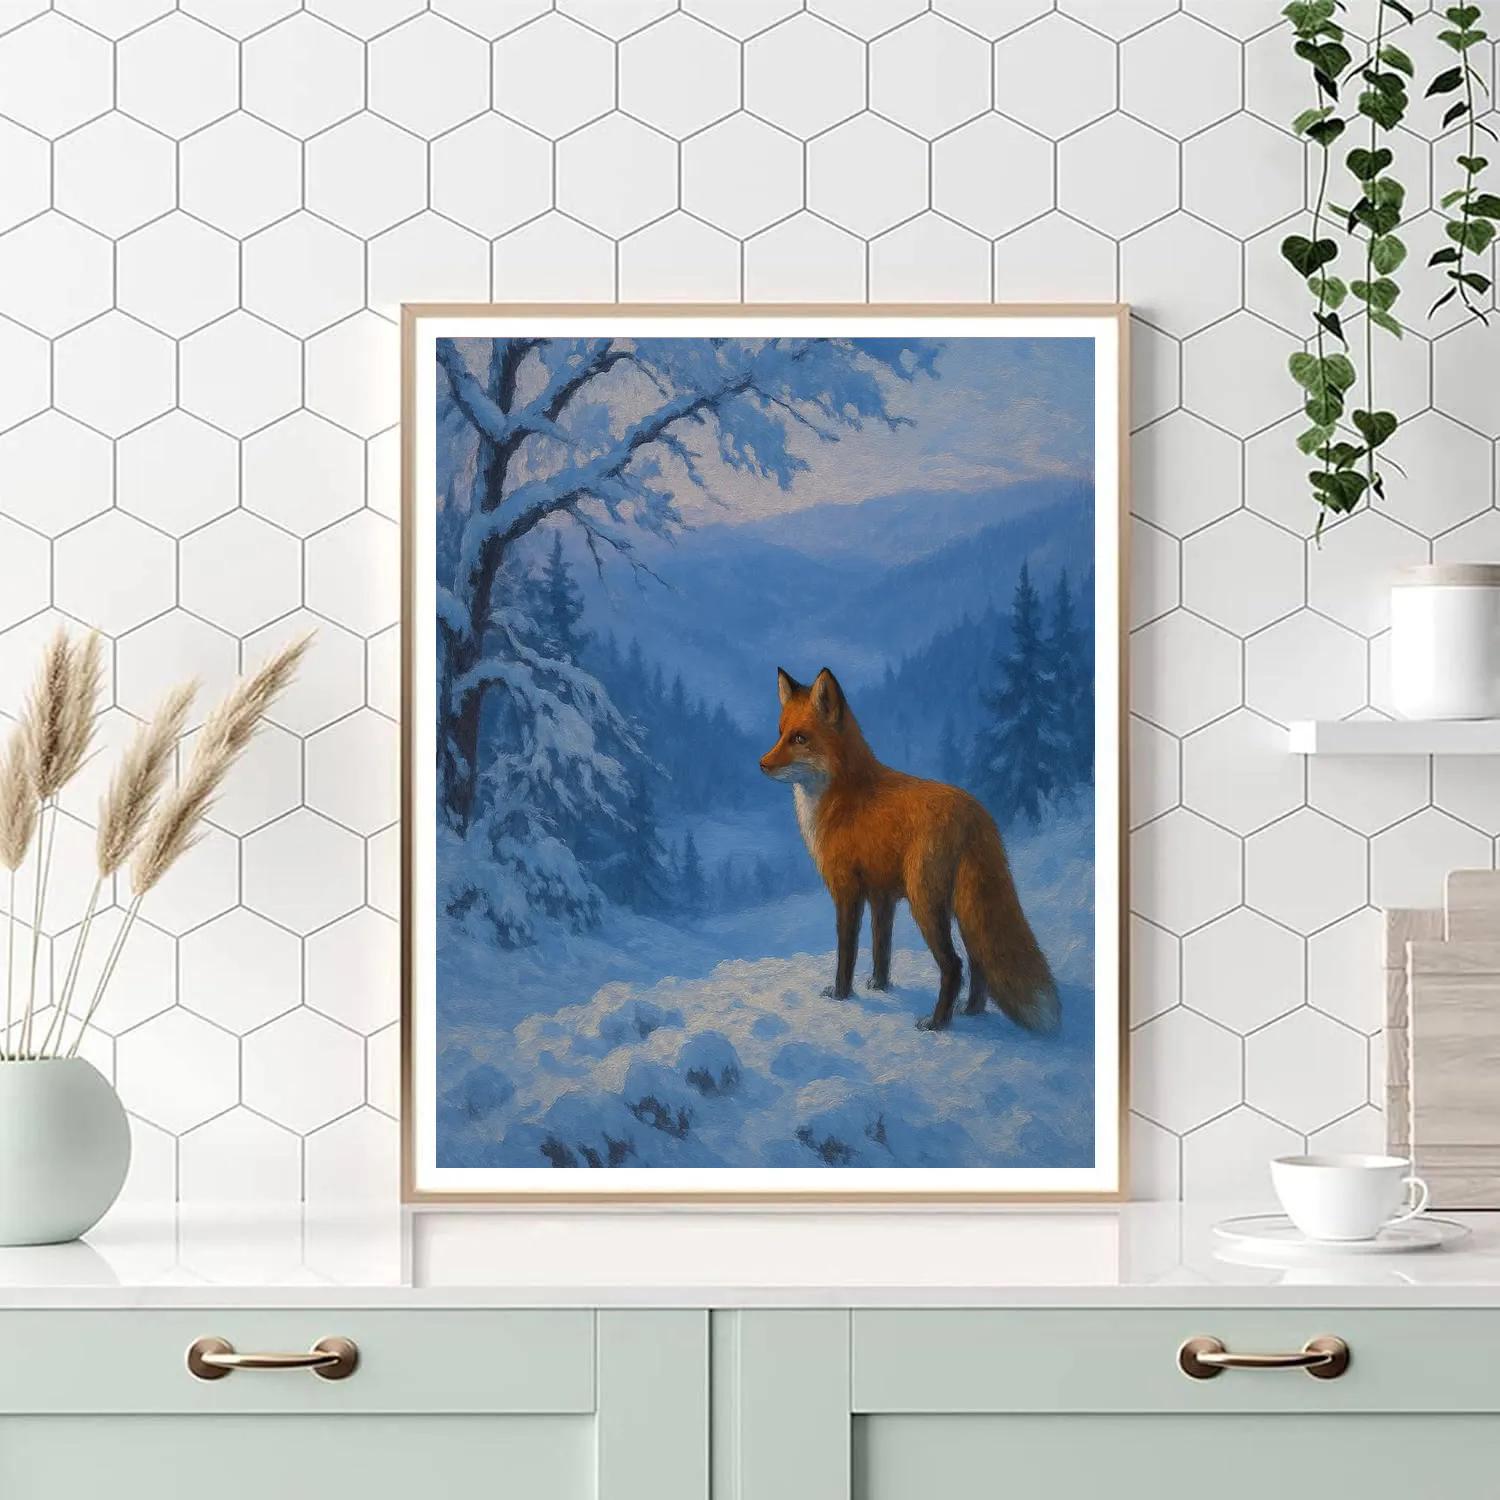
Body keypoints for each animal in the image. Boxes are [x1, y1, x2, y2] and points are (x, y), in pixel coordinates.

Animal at [759, 667, 1059, 1035]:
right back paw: (972, 1011)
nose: (762, 764)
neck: (842, 799)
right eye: (780, 733)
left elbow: (847, 953)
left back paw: (937, 1023)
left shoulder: (847, 892)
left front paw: (842, 995)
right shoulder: (882, 896)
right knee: (979, 960)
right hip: (963, 906)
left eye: (800, 738)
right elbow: (881, 948)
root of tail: (976, 813)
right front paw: (880, 986)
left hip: (926, 903)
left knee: (955, 965)